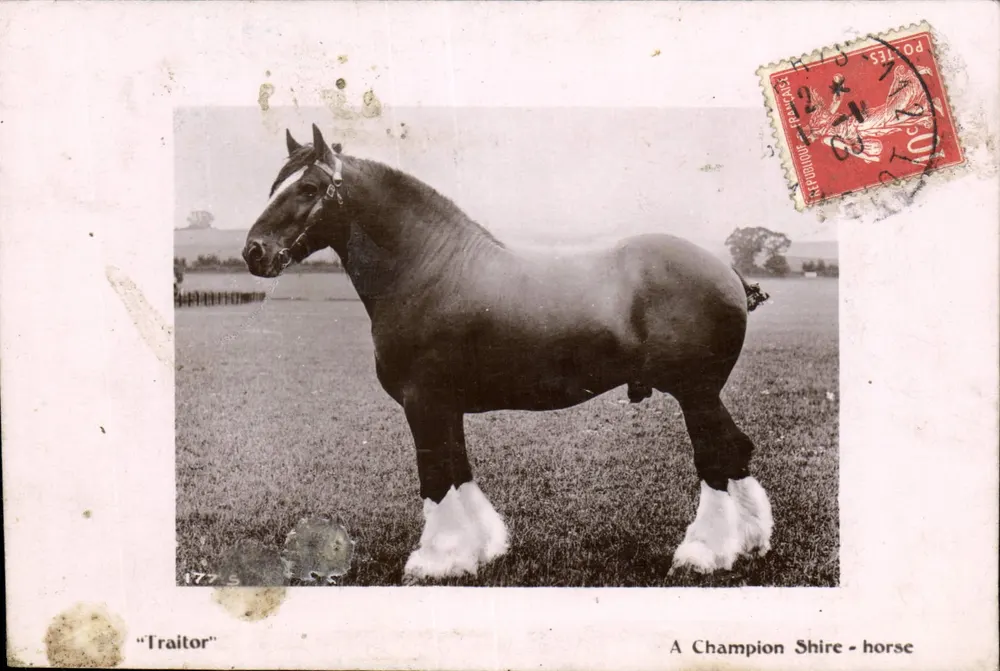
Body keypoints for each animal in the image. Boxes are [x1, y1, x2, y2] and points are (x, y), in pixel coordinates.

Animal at [243, 124, 774, 581]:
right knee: (736, 451)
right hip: (705, 395)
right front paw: (478, 550)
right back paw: (750, 543)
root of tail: (727, 271)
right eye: (275, 185)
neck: (428, 271)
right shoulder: (445, 405)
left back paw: (703, 554)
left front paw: (434, 560)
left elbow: (434, 476)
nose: (254, 252)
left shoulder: (422, 402)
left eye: (310, 188)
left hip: (695, 394)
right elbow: (458, 469)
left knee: (715, 459)